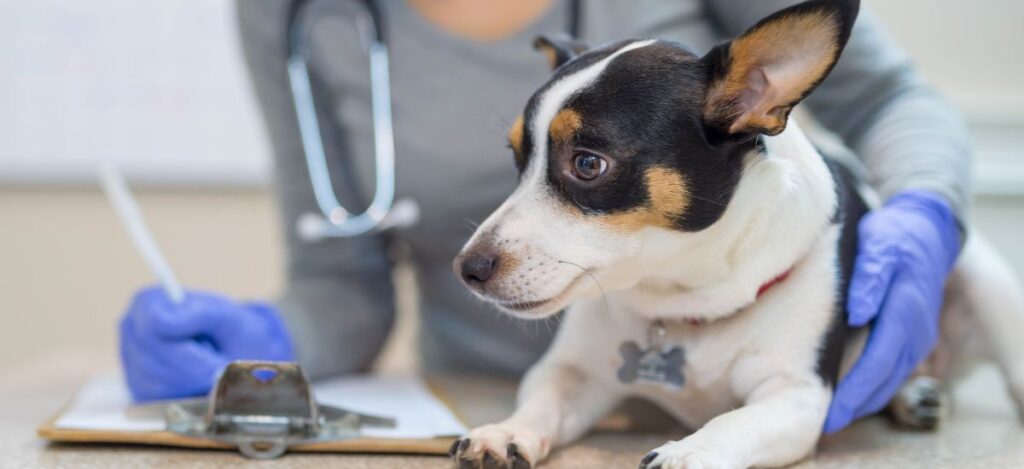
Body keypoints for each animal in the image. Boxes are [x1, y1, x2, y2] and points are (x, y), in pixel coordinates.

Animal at [448, 1, 1024, 466]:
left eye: (587, 164)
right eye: (517, 158)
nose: (467, 268)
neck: (685, 300)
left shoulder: (795, 397)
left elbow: (732, 421)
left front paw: (689, 453)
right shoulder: (573, 373)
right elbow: (542, 400)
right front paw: (505, 431)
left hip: (983, 280)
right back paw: (913, 394)